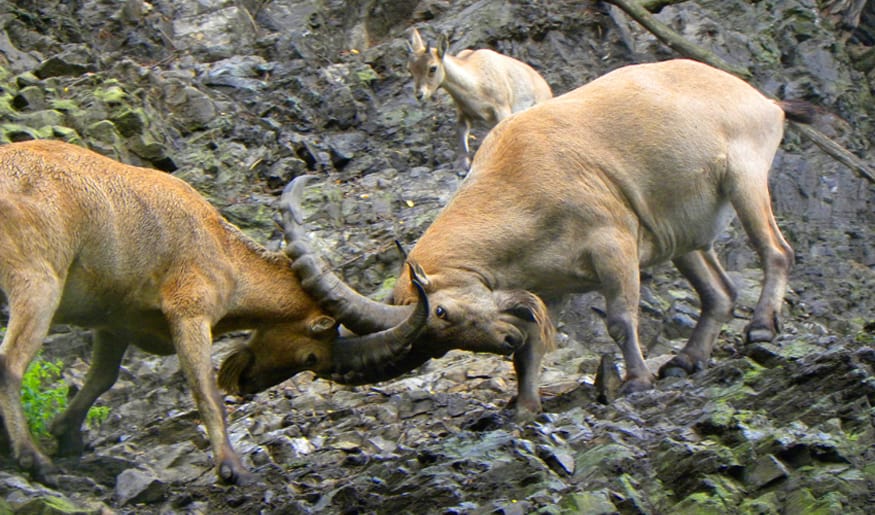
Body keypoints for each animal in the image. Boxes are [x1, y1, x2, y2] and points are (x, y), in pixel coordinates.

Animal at [0, 140, 426, 484]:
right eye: (312, 357)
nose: (247, 384)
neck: (221, 245)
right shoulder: (190, 311)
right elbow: (205, 391)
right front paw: (232, 469)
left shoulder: (115, 324)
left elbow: (102, 379)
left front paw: (66, 435)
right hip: (38, 281)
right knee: (10, 363)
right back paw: (33, 461)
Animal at [280, 59, 816, 420]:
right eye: (434, 343)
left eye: (442, 312)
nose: (504, 337)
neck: (517, 179)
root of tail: (765, 102)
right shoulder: (547, 284)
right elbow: (532, 350)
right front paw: (523, 406)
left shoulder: (612, 243)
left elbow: (620, 320)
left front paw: (636, 382)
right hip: (682, 237)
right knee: (720, 292)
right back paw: (687, 360)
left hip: (744, 179)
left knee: (777, 252)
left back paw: (761, 328)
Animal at [406, 27, 556, 169]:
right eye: (410, 69)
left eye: (432, 68)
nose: (419, 95)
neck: (476, 85)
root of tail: (546, 88)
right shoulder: (463, 112)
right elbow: (461, 132)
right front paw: (462, 164)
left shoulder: (501, 107)